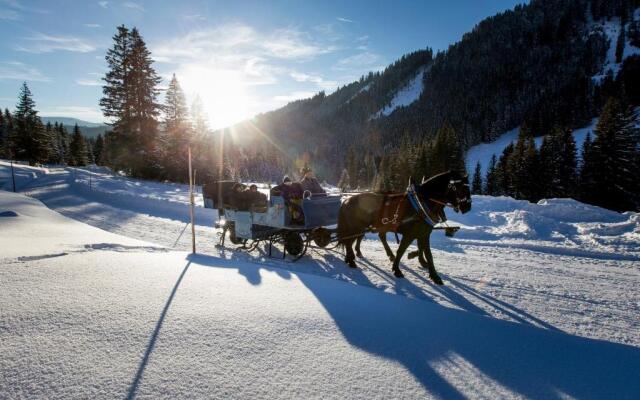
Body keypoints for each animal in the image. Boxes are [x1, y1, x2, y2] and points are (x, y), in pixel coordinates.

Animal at [338, 170, 472, 282]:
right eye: (459, 188)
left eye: (468, 188)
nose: (467, 207)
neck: (421, 204)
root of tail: (347, 200)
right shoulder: (409, 234)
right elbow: (401, 251)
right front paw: (397, 270)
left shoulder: (423, 234)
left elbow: (428, 254)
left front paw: (433, 275)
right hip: (356, 227)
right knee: (350, 242)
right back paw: (351, 260)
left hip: (363, 227)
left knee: (359, 239)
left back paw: (353, 257)